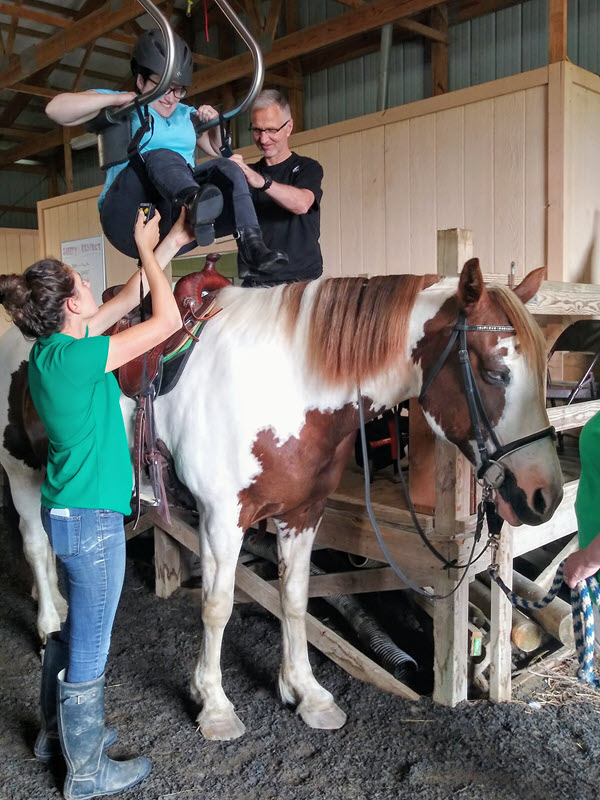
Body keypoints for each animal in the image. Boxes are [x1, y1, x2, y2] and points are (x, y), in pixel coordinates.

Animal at [0, 256, 564, 736]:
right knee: (34, 544)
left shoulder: (302, 513)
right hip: (20, 469)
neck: (283, 385)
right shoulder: (221, 518)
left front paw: (305, 692)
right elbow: (217, 605)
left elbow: (295, 598)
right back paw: (49, 623)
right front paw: (214, 704)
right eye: (495, 372)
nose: (545, 495)